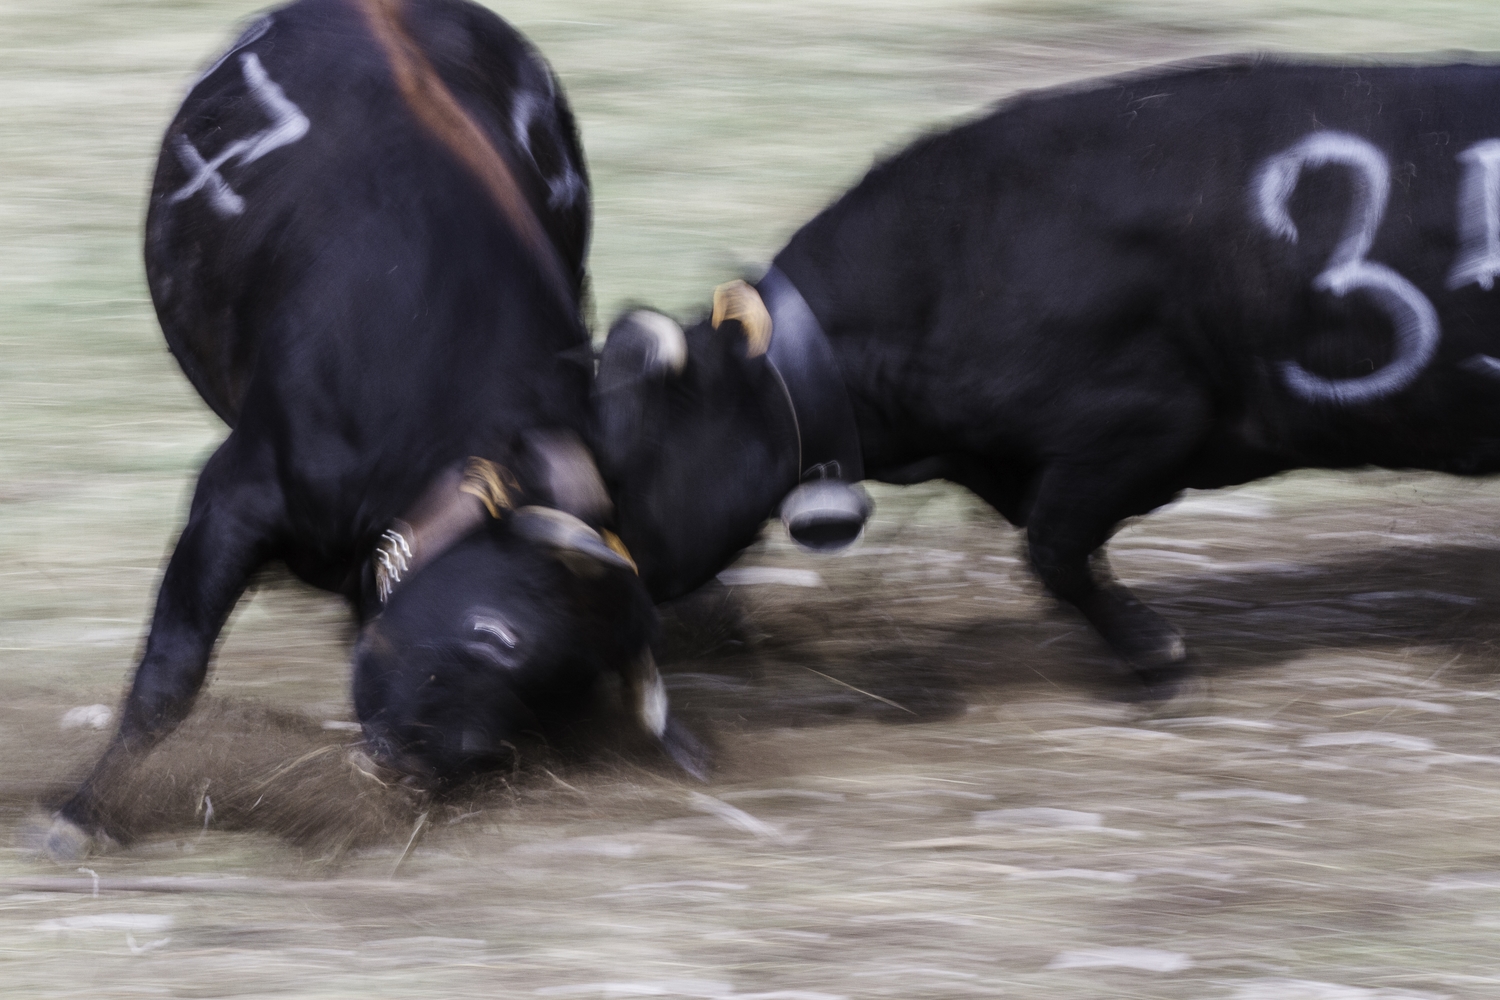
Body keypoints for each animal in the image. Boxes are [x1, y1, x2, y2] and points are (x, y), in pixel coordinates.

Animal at [49, 0, 687, 857]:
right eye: (495, 634)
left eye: (564, 683)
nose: (441, 759)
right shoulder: (233, 497)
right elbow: (170, 672)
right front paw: (82, 814)